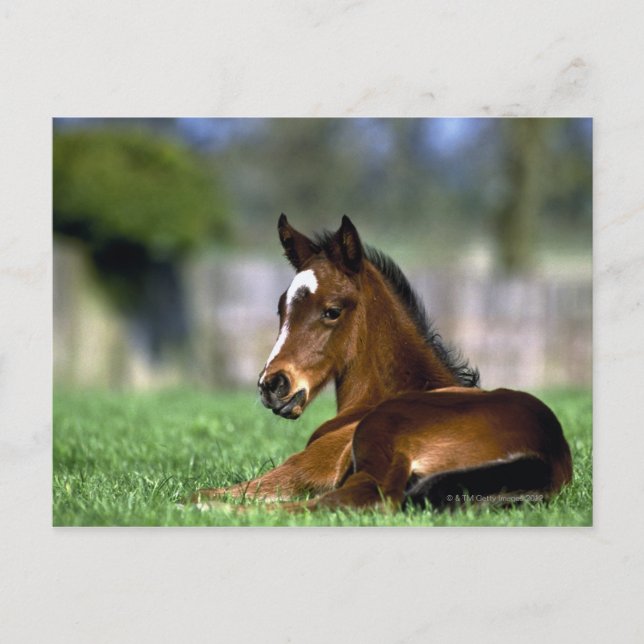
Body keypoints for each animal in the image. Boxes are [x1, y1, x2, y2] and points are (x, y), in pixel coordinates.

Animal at [192, 214, 572, 512]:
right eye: (281, 308)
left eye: (332, 311)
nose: (273, 385)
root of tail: (546, 453)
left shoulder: (311, 465)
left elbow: (203, 491)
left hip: (378, 441)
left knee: (357, 499)